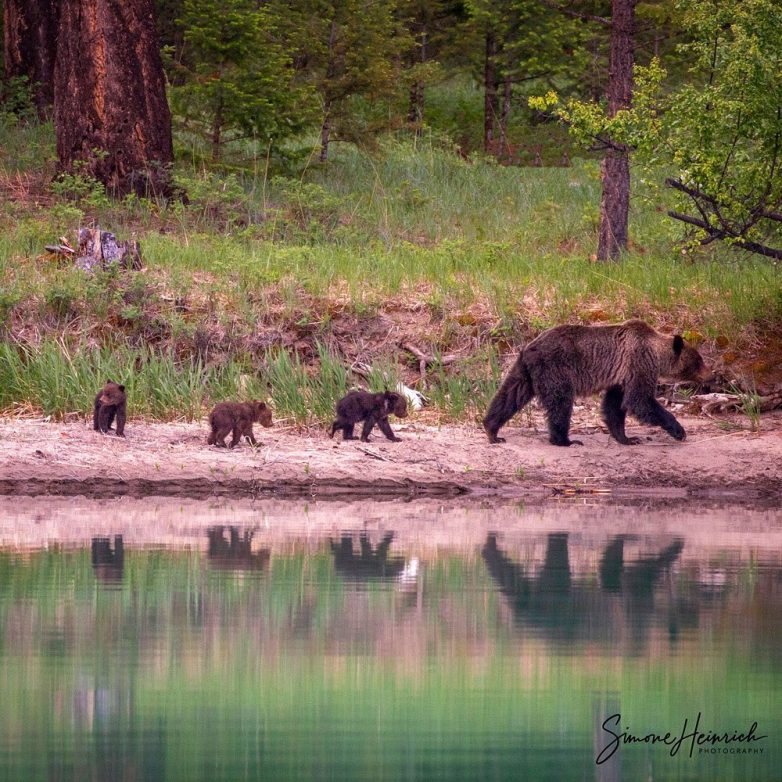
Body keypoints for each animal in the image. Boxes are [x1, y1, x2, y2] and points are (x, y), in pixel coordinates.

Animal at [484, 322, 712, 448]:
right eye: (699, 360)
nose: (709, 375)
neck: (655, 354)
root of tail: (530, 348)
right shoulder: (639, 364)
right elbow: (640, 401)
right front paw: (678, 430)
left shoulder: (621, 376)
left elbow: (615, 406)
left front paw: (627, 438)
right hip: (556, 368)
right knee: (560, 403)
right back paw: (565, 440)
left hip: (526, 372)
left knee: (510, 395)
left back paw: (492, 430)